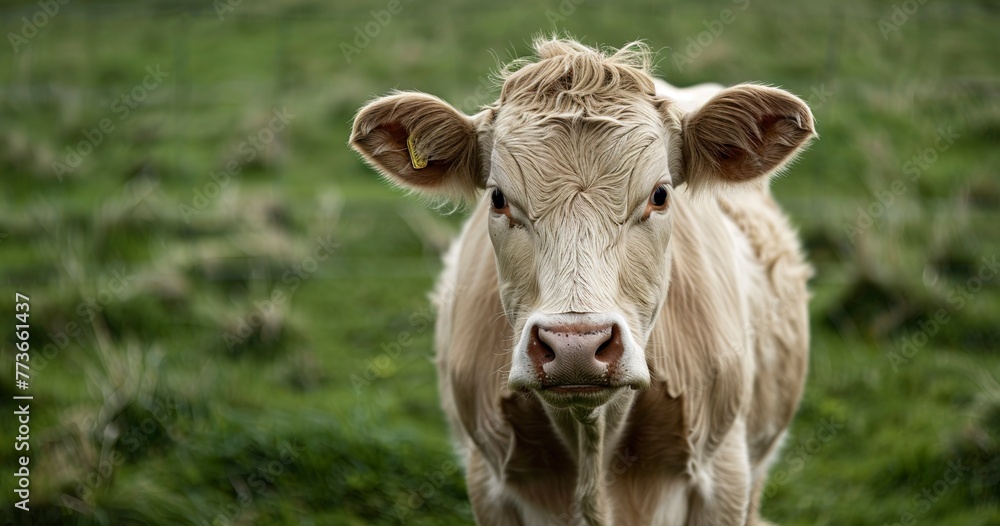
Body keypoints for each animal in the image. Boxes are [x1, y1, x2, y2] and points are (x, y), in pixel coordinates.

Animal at [348, 37, 816, 526]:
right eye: (497, 198)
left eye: (659, 195)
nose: (575, 344)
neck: (591, 440)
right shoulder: (488, 482)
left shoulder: (724, 474)